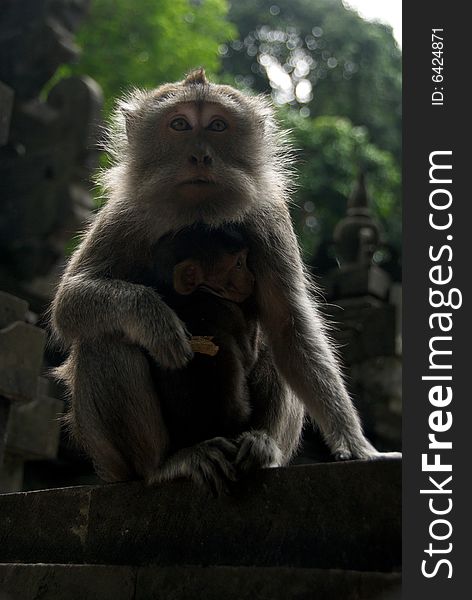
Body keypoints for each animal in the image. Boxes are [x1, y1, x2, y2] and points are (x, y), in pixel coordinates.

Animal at [51, 68, 382, 488]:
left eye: (218, 125)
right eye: (179, 125)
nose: (199, 156)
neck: (199, 214)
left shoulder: (269, 217)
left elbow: (289, 324)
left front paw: (353, 443)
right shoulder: (125, 213)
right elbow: (68, 303)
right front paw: (152, 318)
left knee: (278, 343)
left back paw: (262, 447)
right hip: (115, 462)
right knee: (103, 341)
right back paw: (164, 466)